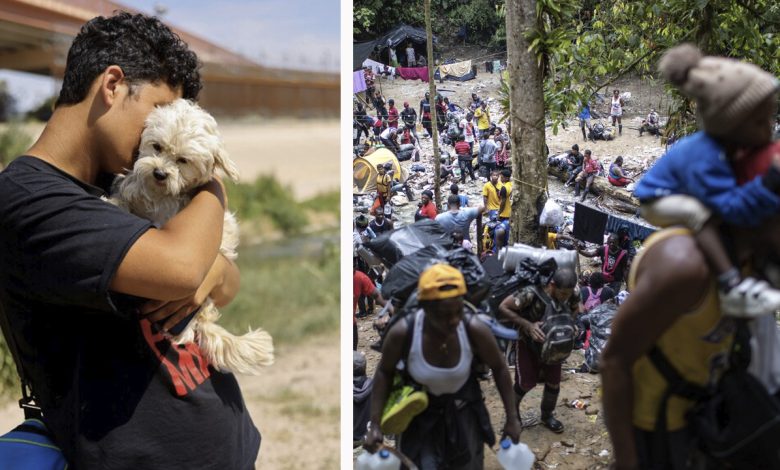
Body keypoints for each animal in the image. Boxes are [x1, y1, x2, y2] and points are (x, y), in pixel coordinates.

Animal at [110, 98, 274, 374]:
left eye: (183, 160)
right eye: (157, 147)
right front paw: (115, 198)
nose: (159, 173)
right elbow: (130, 191)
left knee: (188, 330)